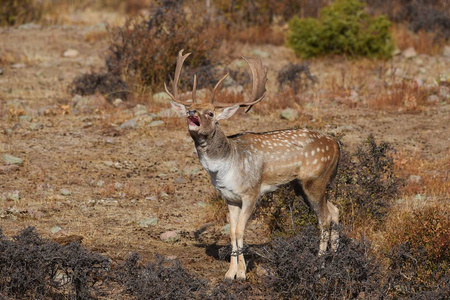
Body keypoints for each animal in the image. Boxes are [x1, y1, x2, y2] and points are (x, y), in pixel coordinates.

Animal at [167, 49, 340, 282]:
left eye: (211, 113)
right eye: (189, 109)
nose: (192, 113)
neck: (225, 167)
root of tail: (336, 145)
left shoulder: (251, 192)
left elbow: (241, 230)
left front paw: (241, 273)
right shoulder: (229, 198)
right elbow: (232, 231)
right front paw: (230, 273)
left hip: (315, 180)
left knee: (324, 218)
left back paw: (320, 265)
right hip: (303, 185)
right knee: (334, 210)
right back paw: (335, 257)